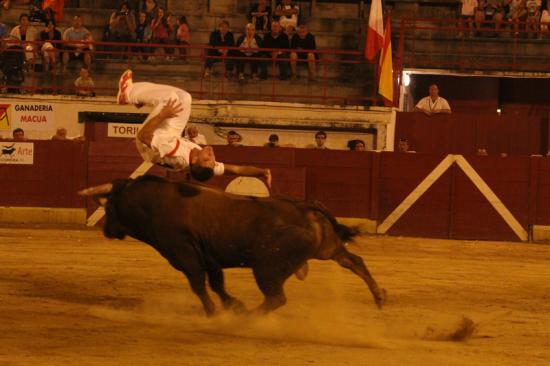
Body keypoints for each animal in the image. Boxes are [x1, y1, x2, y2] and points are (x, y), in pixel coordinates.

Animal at [80, 174, 388, 314]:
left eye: (110, 206)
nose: (107, 229)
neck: (153, 204)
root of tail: (303, 208)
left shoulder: (185, 254)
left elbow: (198, 284)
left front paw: (214, 312)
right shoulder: (209, 256)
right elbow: (217, 284)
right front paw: (232, 305)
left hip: (266, 268)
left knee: (276, 297)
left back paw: (248, 319)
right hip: (327, 249)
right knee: (354, 262)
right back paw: (380, 296)